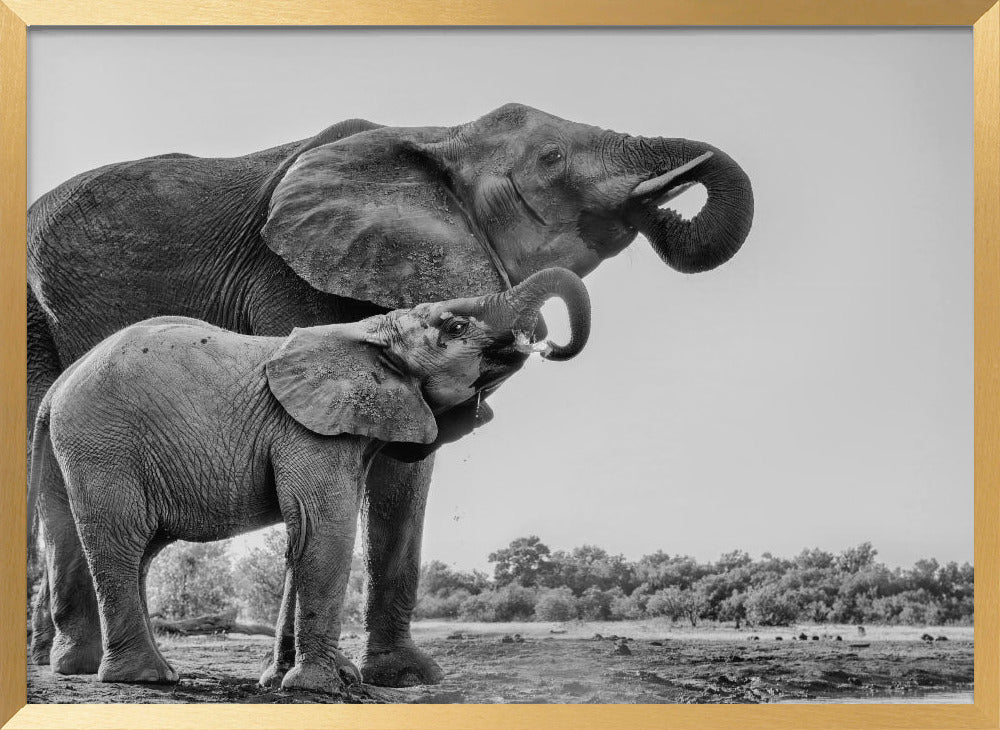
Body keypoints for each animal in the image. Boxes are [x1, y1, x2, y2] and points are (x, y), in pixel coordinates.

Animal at [28, 268, 590, 690]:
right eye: (452, 327)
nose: (547, 344)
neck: (368, 332)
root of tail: (57, 388)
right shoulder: (307, 428)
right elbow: (325, 529)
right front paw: (321, 687)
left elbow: (303, 539)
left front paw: (284, 682)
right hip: (103, 444)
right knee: (122, 542)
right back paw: (148, 678)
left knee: (113, 546)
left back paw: (101, 670)